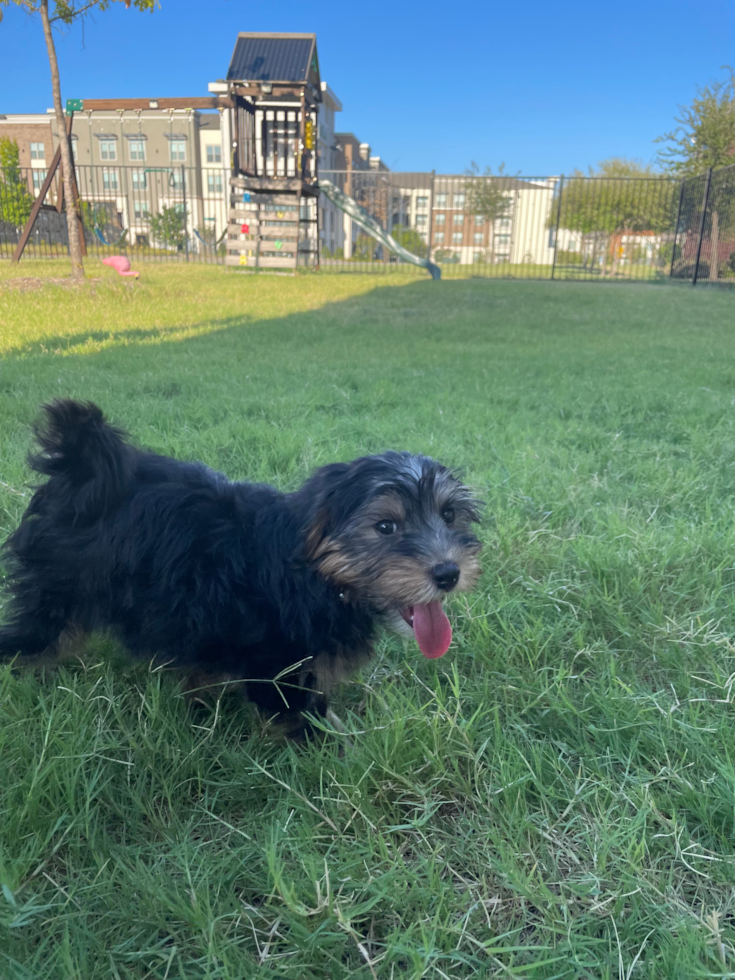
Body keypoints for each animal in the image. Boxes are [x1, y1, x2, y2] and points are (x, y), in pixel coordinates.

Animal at [0, 402, 484, 740]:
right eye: (386, 527)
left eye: (449, 515)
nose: (447, 573)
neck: (317, 576)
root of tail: (82, 469)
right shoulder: (277, 662)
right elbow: (300, 716)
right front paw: (335, 754)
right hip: (59, 590)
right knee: (33, 639)